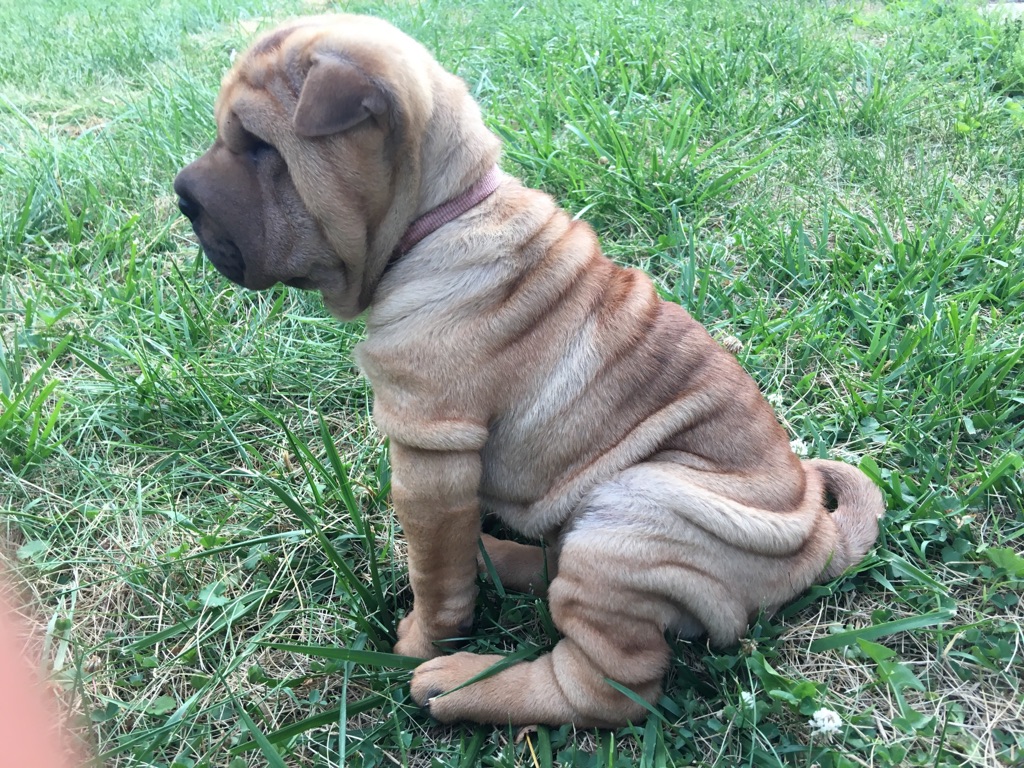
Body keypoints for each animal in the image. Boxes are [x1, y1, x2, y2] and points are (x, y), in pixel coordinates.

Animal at [174, 15, 880, 729]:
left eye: (260, 147)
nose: (180, 195)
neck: (441, 216)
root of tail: (817, 534)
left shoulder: (430, 450)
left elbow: (434, 575)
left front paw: (419, 642)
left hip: (633, 517)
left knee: (607, 687)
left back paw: (459, 683)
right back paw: (498, 559)